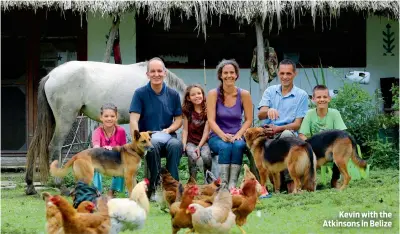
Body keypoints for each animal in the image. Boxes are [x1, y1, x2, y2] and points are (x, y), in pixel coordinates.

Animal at [25, 61, 188, 195]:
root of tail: (51, 75)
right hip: (65, 119)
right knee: (54, 147)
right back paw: (61, 186)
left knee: (35, 146)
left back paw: (30, 185)